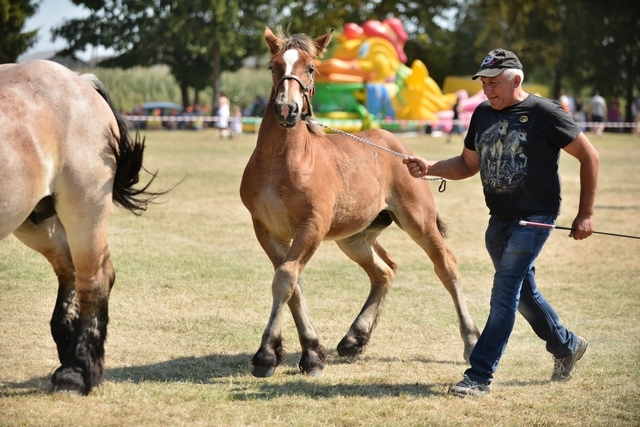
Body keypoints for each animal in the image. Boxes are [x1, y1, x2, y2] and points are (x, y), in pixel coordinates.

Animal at [0, 60, 162, 394]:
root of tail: (79, 79)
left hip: (84, 207)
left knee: (94, 279)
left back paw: (77, 369)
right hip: (36, 220)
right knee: (69, 271)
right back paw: (69, 347)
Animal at [240, 28, 480, 378]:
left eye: (311, 67)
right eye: (273, 66)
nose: (287, 110)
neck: (281, 161)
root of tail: (397, 146)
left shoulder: (311, 227)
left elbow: (285, 278)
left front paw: (268, 354)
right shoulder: (266, 230)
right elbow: (292, 282)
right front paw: (311, 352)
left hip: (418, 220)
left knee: (446, 266)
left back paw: (472, 340)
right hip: (353, 238)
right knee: (385, 271)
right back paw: (355, 338)